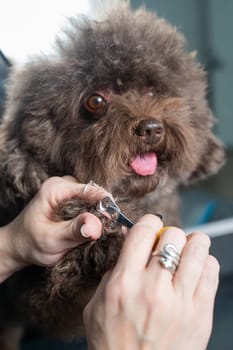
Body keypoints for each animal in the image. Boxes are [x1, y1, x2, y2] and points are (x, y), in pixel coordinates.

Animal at [0, 2, 224, 350]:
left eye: (153, 89)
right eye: (96, 101)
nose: (151, 128)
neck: (130, 196)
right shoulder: (41, 298)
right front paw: (94, 226)